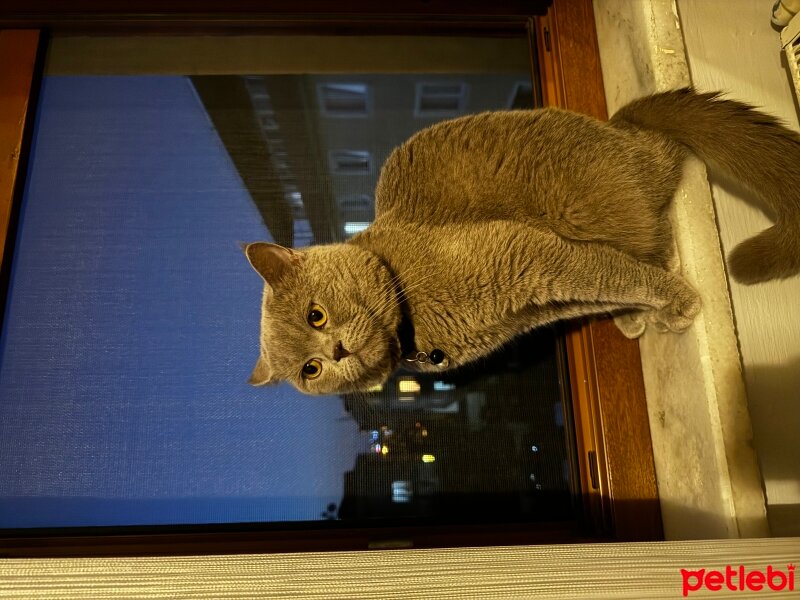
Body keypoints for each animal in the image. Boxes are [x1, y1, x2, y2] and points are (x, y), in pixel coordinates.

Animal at [244, 88, 800, 394]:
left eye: (316, 315)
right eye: (311, 369)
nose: (335, 351)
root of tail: (621, 127)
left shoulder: (529, 253)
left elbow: (615, 276)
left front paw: (677, 301)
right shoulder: (539, 294)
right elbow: (605, 286)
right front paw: (642, 305)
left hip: (583, 205)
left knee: (654, 209)